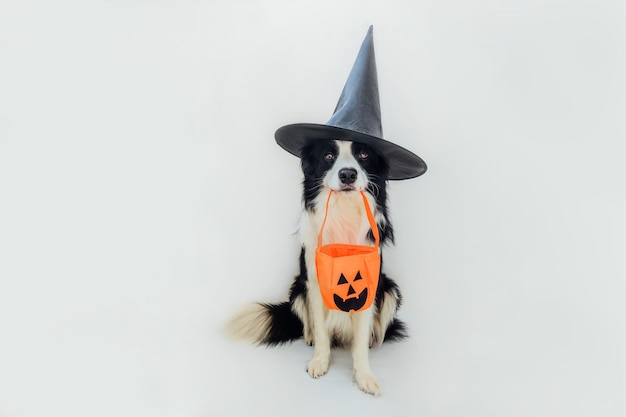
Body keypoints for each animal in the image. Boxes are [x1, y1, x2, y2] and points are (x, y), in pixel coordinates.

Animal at [227, 137, 408, 394]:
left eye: (363, 154)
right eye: (328, 156)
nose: (348, 175)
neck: (343, 211)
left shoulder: (369, 283)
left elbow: (360, 339)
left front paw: (364, 376)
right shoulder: (312, 281)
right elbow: (322, 329)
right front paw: (320, 361)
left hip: (390, 290)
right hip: (297, 289)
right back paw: (310, 337)